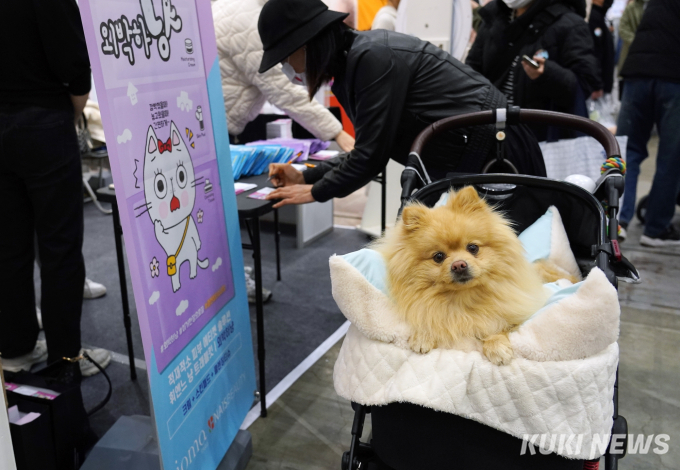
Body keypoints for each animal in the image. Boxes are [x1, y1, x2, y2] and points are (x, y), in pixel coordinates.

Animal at [374, 185, 548, 366]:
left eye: (473, 248)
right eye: (438, 256)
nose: (459, 265)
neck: (462, 298)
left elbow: (498, 325)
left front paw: (496, 345)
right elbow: (428, 317)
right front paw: (424, 335)